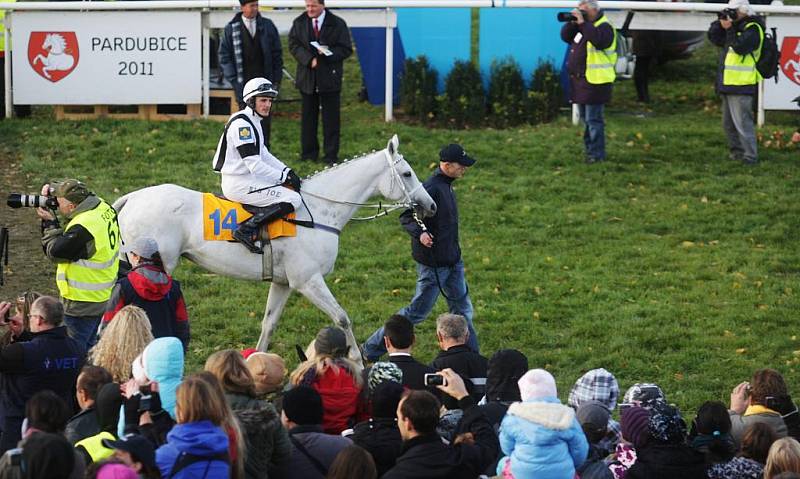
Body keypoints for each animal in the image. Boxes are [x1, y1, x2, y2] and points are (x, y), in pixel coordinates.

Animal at [112, 135, 434, 360]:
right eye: (407, 174)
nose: (430, 205)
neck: (317, 212)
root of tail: (133, 197)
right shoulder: (308, 281)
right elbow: (342, 317)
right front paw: (356, 357)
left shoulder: (283, 283)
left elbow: (269, 323)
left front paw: (255, 361)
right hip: (156, 265)